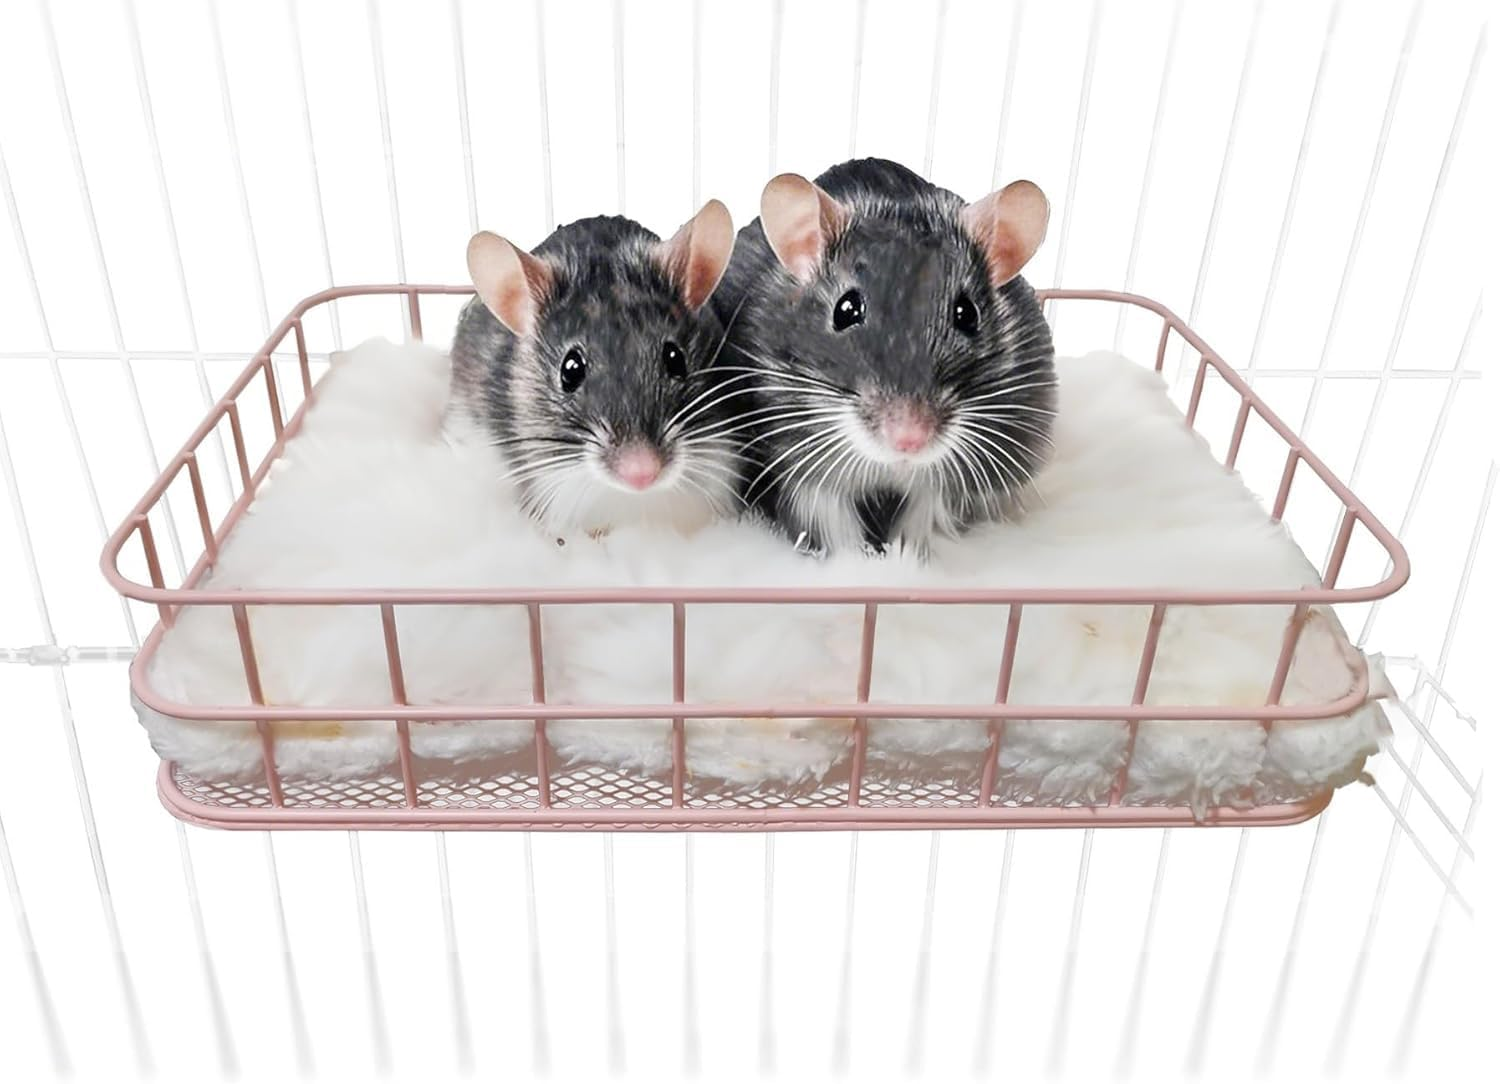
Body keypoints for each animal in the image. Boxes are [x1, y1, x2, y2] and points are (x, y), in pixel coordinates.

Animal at [709, 157, 1056, 558]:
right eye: (846, 310)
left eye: (967, 313)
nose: (909, 440)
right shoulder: (803, 469)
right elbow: (834, 529)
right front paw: (857, 563)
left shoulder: (943, 485)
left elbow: (918, 525)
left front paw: (904, 559)